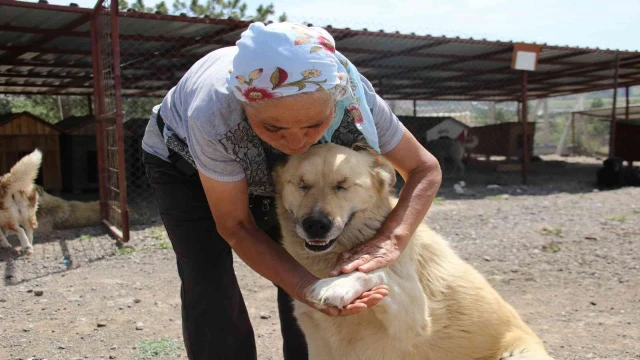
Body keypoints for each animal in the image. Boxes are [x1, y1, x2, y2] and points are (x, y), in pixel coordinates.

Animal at [272, 143, 552, 360]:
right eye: (301, 185)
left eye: (342, 185)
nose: (315, 225)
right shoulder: (319, 342)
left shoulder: (414, 319)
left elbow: (377, 270)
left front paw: (339, 284)